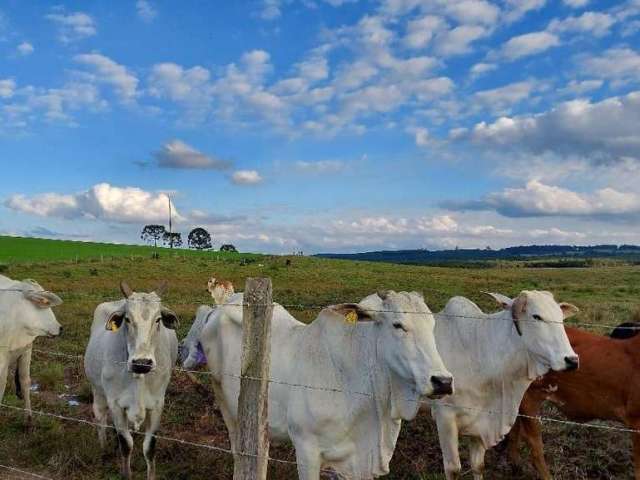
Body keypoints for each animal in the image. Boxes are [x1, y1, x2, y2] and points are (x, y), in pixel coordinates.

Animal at [83, 282, 178, 480]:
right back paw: (104, 449)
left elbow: (149, 447)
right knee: (100, 416)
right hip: (97, 390)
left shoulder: (157, 405)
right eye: (127, 319)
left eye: (158, 319)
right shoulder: (116, 404)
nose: (142, 363)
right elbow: (126, 445)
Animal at [200, 288, 456, 480]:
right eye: (397, 325)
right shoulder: (306, 449)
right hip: (225, 401)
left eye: (432, 325)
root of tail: (222, 306)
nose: (443, 381)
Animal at [430, 290, 580, 478]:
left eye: (561, 317)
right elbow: (453, 470)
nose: (572, 360)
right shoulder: (445, 416)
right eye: (536, 316)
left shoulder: (483, 422)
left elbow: (478, 465)